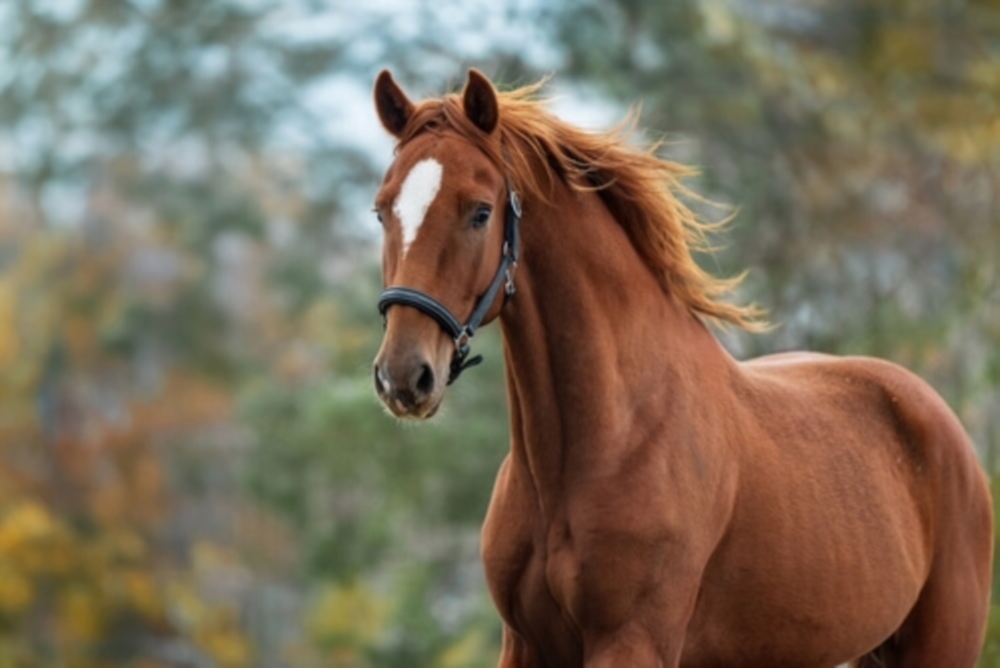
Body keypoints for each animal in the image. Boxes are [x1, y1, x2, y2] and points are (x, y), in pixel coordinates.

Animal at [368, 69, 992, 668]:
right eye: (381, 210)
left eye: (480, 211)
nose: (403, 376)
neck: (604, 440)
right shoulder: (526, 646)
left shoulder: (633, 642)